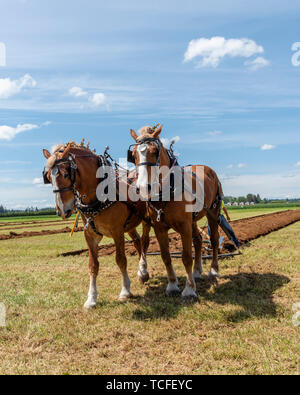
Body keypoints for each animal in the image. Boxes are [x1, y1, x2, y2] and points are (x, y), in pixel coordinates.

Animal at [42, 143, 150, 310]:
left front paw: (125, 291)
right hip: (130, 224)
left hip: (146, 220)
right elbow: (93, 265)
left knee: (144, 242)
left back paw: (144, 270)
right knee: (137, 242)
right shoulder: (90, 235)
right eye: (47, 177)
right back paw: (141, 274)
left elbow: (121, 260)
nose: (63, 211)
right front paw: (91, 299)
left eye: (66, 174)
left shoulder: (117, 232)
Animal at [129, 125, 223, 298]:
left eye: (155, 151)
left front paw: (189, 289)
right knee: (198, 240)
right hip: (193, 220)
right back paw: (197, 272)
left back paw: (213, 271)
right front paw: (172, 285)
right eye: (133, 154)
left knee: (213, 239)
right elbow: (166, 256)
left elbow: (186, 257)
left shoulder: (184, 226)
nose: (144, 187)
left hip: (213, 211)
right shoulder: (159, 228)